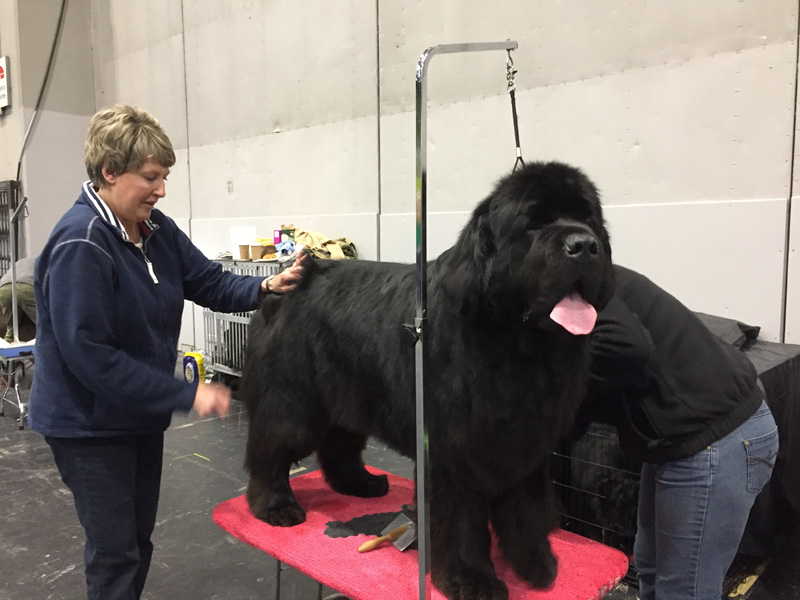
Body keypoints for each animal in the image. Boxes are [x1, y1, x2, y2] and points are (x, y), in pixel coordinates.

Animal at [241, 161, 616, 600]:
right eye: (534, 223)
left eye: (588, 219)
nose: (585, 245)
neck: (517, 342)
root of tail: (294, 277)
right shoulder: (451, 450)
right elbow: (461, 522)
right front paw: (472, 580)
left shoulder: (527, 441)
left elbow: (527, 506)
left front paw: (535, 563)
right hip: (293, 400)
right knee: (272, 447)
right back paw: (275, 505)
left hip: (349, 393)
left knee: (339, 444)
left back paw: (361, 484)